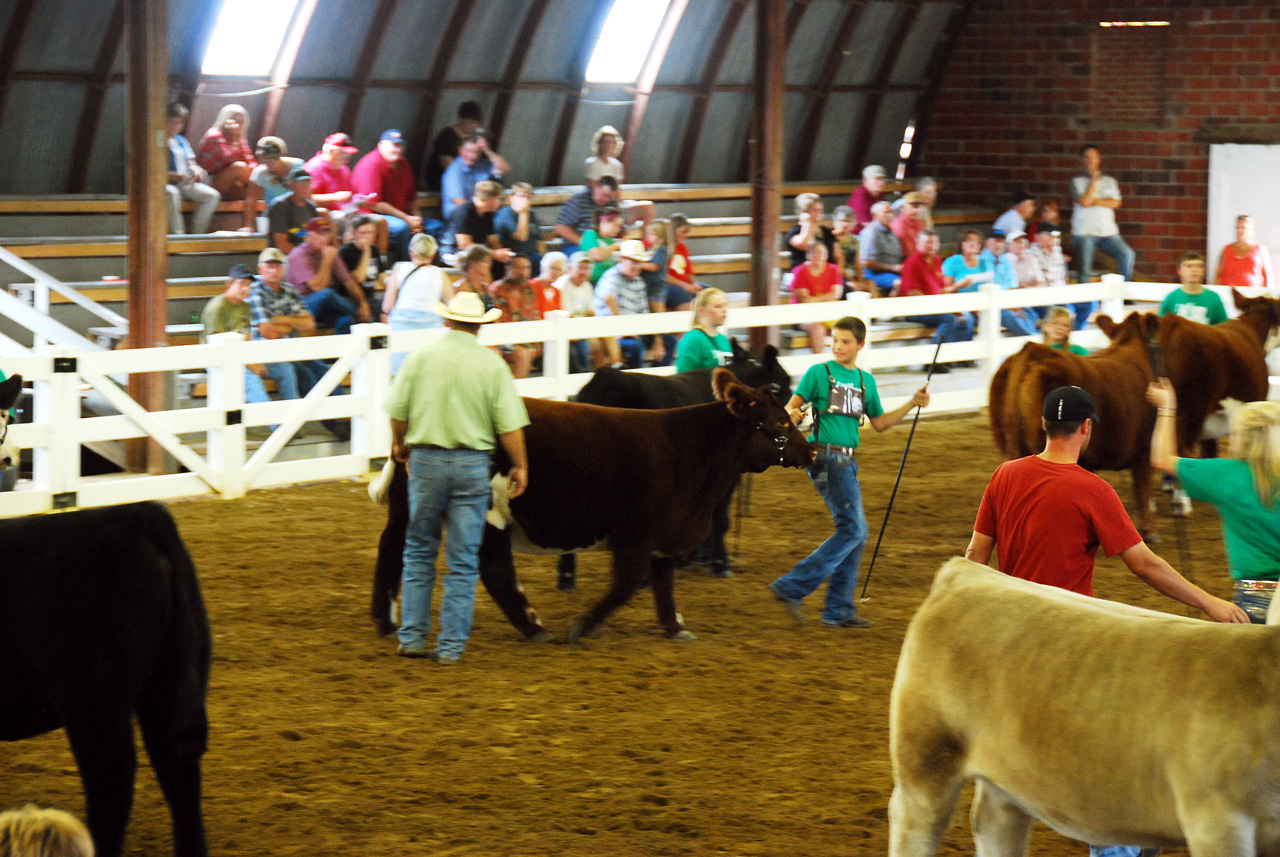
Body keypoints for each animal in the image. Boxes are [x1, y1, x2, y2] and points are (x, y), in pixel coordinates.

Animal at [896, 557, 1274, 857]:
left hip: (1005, 776)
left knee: (993, 821)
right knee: (916, 825)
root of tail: (966, 571)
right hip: (925, 759)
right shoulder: (1216, 819)